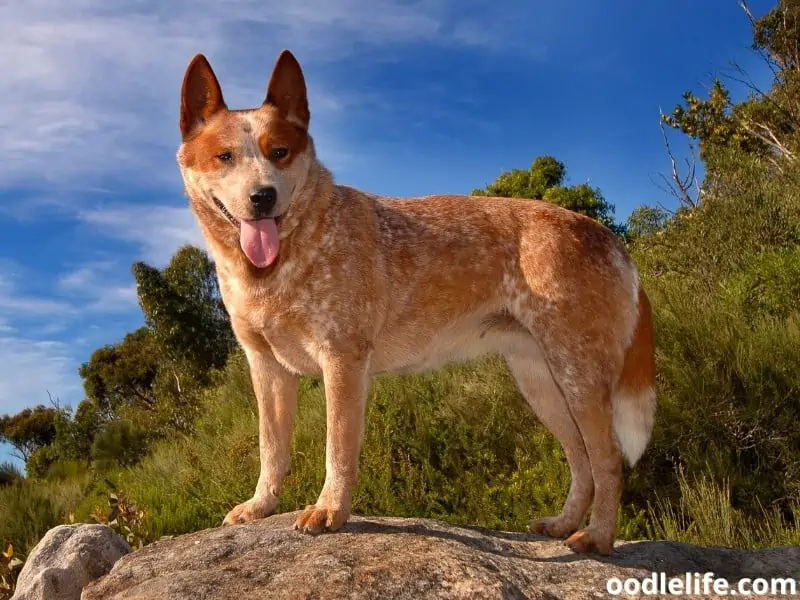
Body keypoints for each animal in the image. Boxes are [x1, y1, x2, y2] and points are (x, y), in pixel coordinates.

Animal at [175, 49, 656, 556]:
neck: (282, 262)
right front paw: (260, 506)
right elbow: (271, 448)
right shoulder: (266, 367)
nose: (263, 197)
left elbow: (336, 448)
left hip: (578, 376)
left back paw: (598, 536)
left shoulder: (343, 360)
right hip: (541, 383)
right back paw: (564, 523)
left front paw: (329, 511)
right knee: (581, 459)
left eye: (279, 152)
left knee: (608, 459)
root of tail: (610, 239)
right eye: (225, 157)